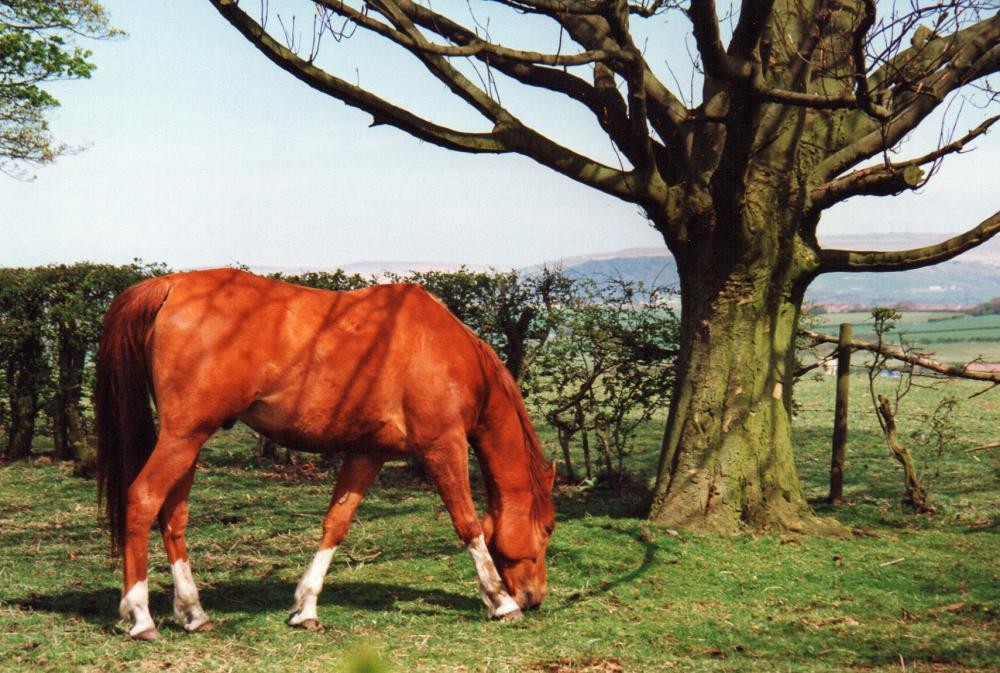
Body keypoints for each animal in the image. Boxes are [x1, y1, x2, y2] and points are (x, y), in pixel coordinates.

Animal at [95, 266, 556, 636]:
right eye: (549, 528)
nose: (535, 596)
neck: (446, 349)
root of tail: (170, 285)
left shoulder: (367, 453)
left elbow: (336, 524)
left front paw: (306, 608)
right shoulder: (443, 445)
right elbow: (468, 523)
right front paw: (501, 602)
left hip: (189, 441)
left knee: (174, 517)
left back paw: (194, 613)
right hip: (182, 437)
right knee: (143, 500)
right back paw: (141, 617)